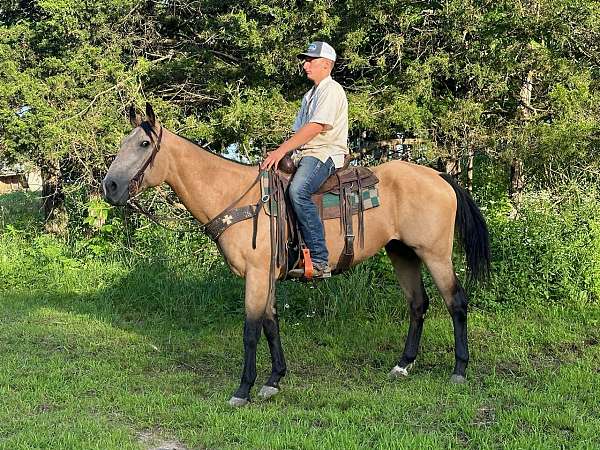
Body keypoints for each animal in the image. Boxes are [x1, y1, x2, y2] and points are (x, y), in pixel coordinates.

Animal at [102, 104, 488, 408]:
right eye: (123, 143)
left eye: (144, 144)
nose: (110, 186)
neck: (239, 198)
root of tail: (439, 175)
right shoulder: (267, 276)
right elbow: (271, 325)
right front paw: (274, 380)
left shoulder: (256, 275)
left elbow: (251, 330)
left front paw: (243, 390)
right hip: (402, 253)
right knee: (418, 304)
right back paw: (403, 365)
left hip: (435, 254)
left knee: (456, 302)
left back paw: (459, 370)